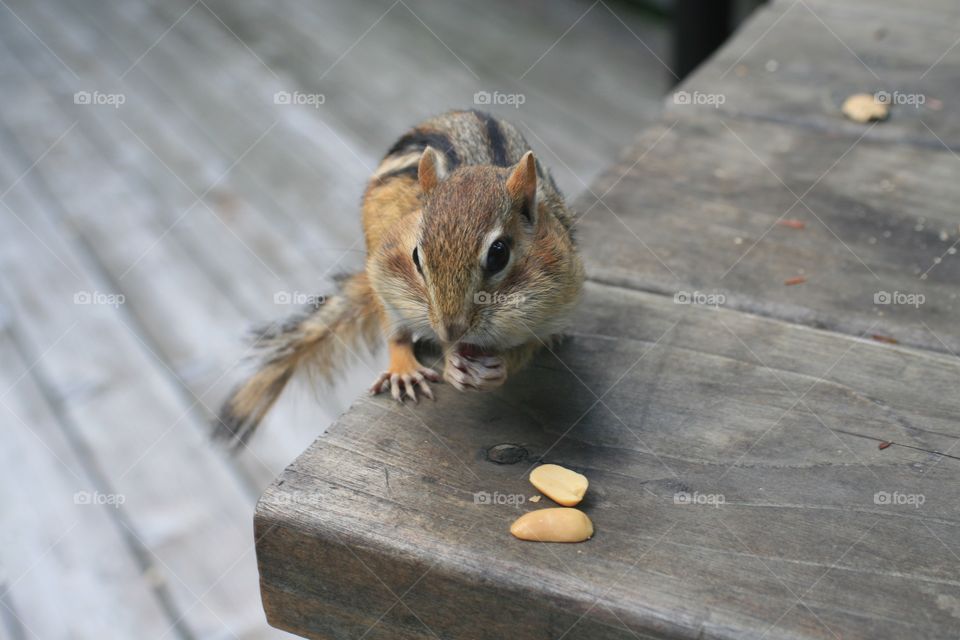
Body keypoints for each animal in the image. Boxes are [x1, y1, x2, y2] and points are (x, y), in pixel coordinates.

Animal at [216, 110, 585, 446]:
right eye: (417, 255)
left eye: (499, 254)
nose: (451, 329)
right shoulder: (389, 278)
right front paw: (448, 363)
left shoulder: (559, 302)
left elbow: (529, 346)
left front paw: (499, 368)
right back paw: (404, 369)